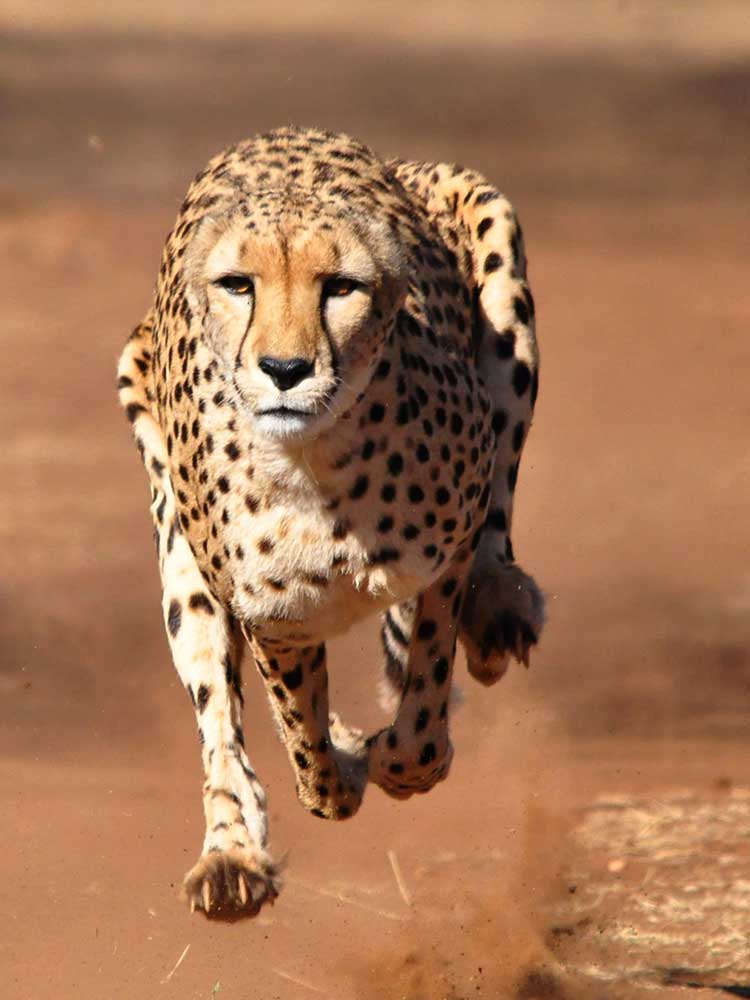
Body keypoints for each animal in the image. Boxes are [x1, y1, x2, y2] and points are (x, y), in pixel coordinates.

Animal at [117, 125, 544, 919]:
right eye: (239, 284)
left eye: (340, 286)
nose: (285, 369)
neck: (317, 464)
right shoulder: (272, 619)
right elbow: (301, 736)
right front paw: (339, 771)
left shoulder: (446, 551)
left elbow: (420, 717)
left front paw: (393, 757)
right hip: (176, 545)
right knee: (219, 722)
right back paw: (231, 854)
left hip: (500, 277)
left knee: (501, 500)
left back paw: (500, 609)